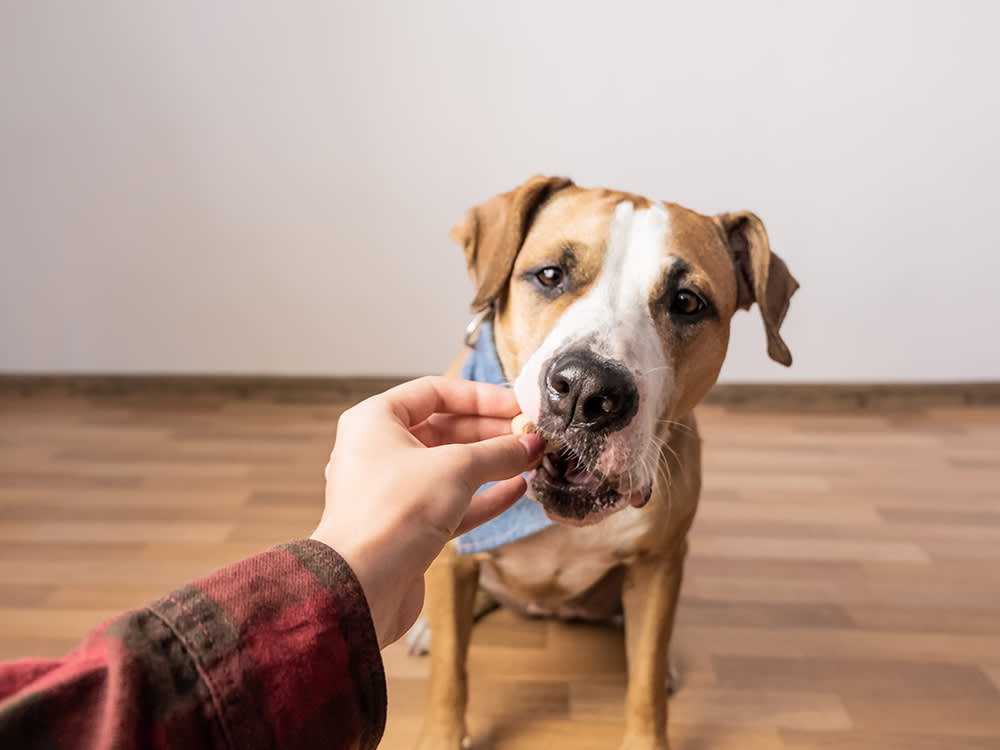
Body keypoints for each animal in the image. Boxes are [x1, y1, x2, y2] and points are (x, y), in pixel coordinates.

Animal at [412, 175, 796, 750]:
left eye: (687, 301)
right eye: (550, 275)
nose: (587, 390)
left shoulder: (659, 566)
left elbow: (645, 682)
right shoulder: (455, 557)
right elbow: (449, 675)